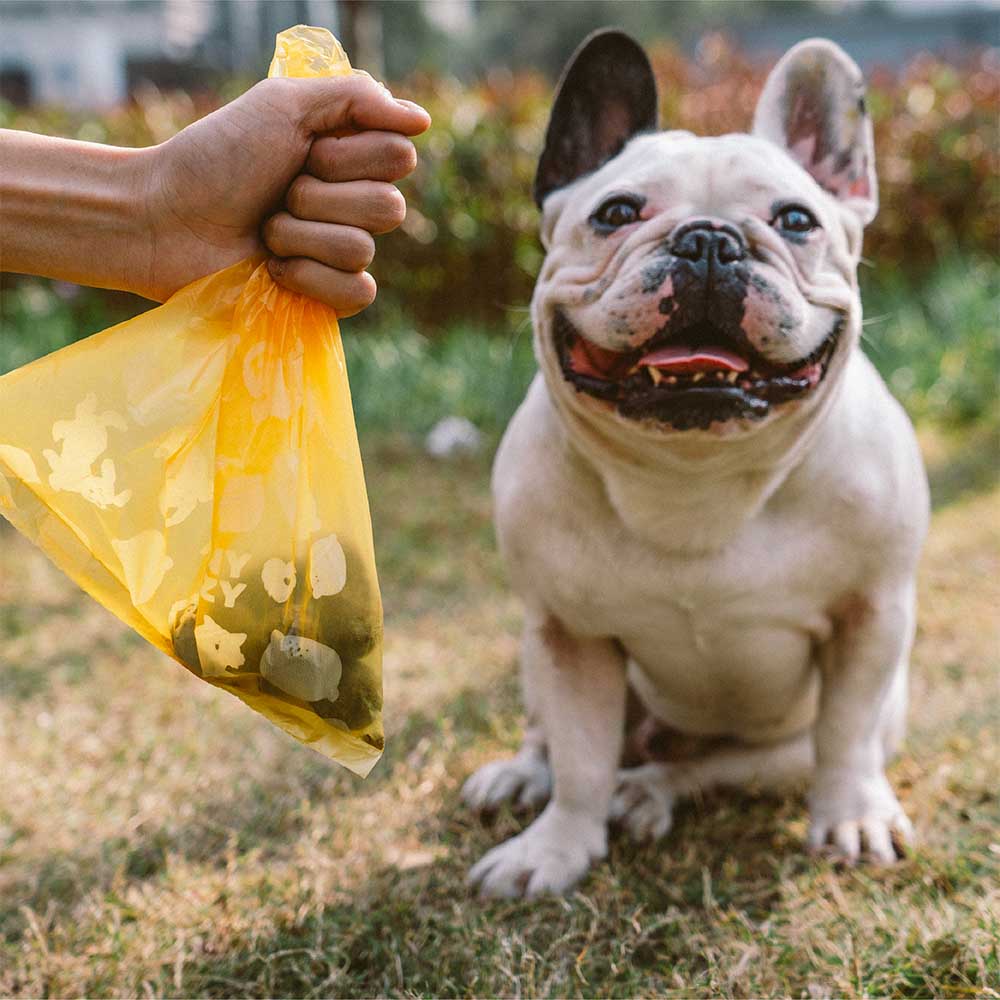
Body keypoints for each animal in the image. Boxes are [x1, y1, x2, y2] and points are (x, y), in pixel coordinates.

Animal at [460, 33, 928, 900]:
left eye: (796, 220)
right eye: (615, 214)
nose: (710, 239)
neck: (694, 477)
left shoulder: (871, 617)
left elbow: (846, 734)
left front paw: (851, 816)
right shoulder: (569, 637)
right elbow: (581, 757)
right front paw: (556, 848)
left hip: (797, 744)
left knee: (719, 767)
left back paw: (648, 791)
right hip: (536, 655)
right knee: (560, 740)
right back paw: (523, 775)